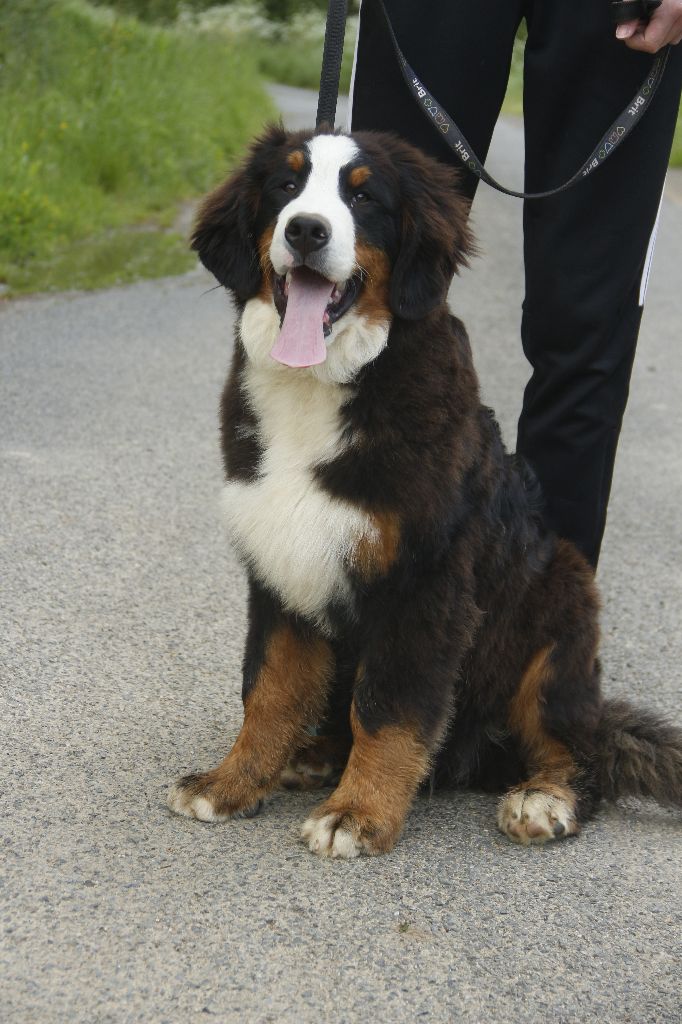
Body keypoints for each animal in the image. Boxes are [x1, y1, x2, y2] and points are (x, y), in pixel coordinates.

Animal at [167, 124, 682, 857]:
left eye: (364, 197)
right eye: (286, 185)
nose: (305, 230)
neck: (320, 388)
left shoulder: (424, 582)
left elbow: (389, 708)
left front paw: (357, 814)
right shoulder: (279, 566)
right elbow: (267, 689)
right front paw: (230, 783)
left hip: (558, 616)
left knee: (575, 748)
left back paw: (543, 798)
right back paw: (314, 755)